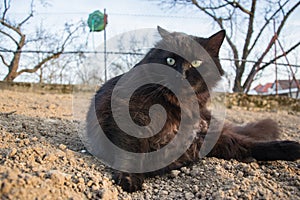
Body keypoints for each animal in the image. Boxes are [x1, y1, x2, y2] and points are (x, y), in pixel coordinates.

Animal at [85, 26, 300, 192]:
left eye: (196, 62)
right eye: (170, 61)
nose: (181, 74)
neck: (178, 107)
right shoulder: (128, 119)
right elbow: (131, 152)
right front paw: (129, 178)